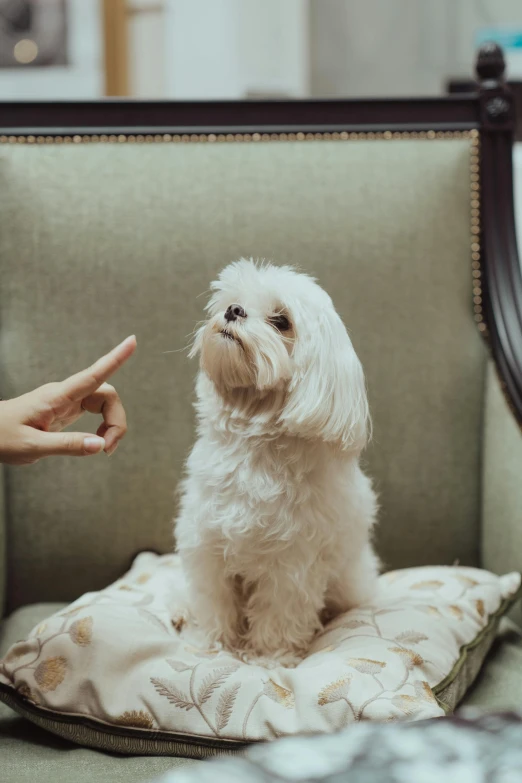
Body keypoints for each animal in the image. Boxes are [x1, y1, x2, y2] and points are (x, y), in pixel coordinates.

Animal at [175, 260, 378, 664]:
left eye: (282, 321)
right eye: (233, 300)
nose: (233, 311)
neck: (253, 450)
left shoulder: (292, 564)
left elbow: (280, 613)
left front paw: (270, 657)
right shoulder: (206, 543)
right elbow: (213, 601)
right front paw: (210, 643)